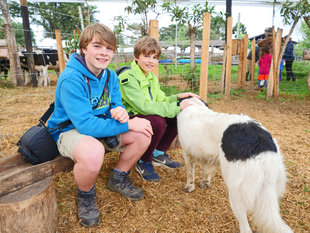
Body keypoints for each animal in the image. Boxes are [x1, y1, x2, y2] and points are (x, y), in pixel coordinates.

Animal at [177, 98, 294, 233]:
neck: (194, 105)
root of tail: (261, 149)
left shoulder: (187, 153)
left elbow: (190, 174)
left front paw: (189, 187)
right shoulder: (209, 158)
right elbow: (206, 172)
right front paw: (204, 184)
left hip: (236, 195)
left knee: (245, 227)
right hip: (272, 190)